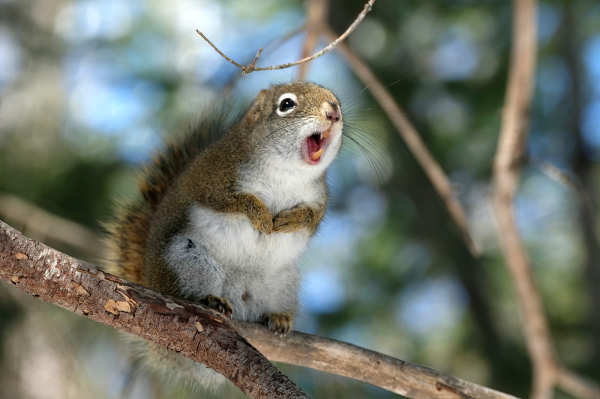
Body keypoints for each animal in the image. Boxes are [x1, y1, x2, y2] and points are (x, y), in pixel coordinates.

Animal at [103, 82, 342, 390]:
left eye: (336, 100)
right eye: (287, 105)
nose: (333, 112)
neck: (287, 173)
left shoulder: (318, 197)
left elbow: (312, 220)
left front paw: (290, 219)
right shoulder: (211, 178)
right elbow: (233, 201)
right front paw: (261, 215)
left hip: (282, 283)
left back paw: (277, 318)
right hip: (186, 261)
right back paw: (209, 300)